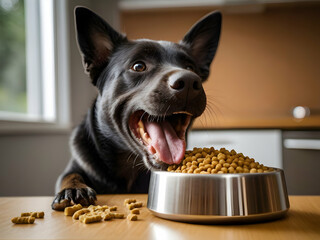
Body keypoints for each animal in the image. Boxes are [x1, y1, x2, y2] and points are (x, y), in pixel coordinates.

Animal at [52, 7, 220, 210]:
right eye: (138, 66)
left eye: (190, 68)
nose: (188, 81)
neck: (128, 167)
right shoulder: (75, 166)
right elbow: (69, 176)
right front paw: (74, 188)